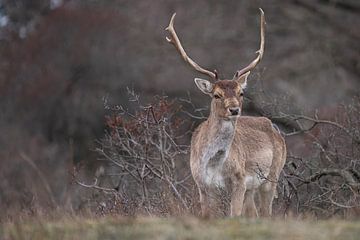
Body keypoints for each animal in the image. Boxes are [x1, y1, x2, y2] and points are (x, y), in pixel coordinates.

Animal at [165, 8, 286, 218]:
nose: (234, 109)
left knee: (265, 212)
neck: (214, 166)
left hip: (272, 176)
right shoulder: (202, 185)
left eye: (241, 92)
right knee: (254, 213)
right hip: (253, 187)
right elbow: (207, 215)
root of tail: (275, 129)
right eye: (216, 95)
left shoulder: (239, 181)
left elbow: (234, 215)